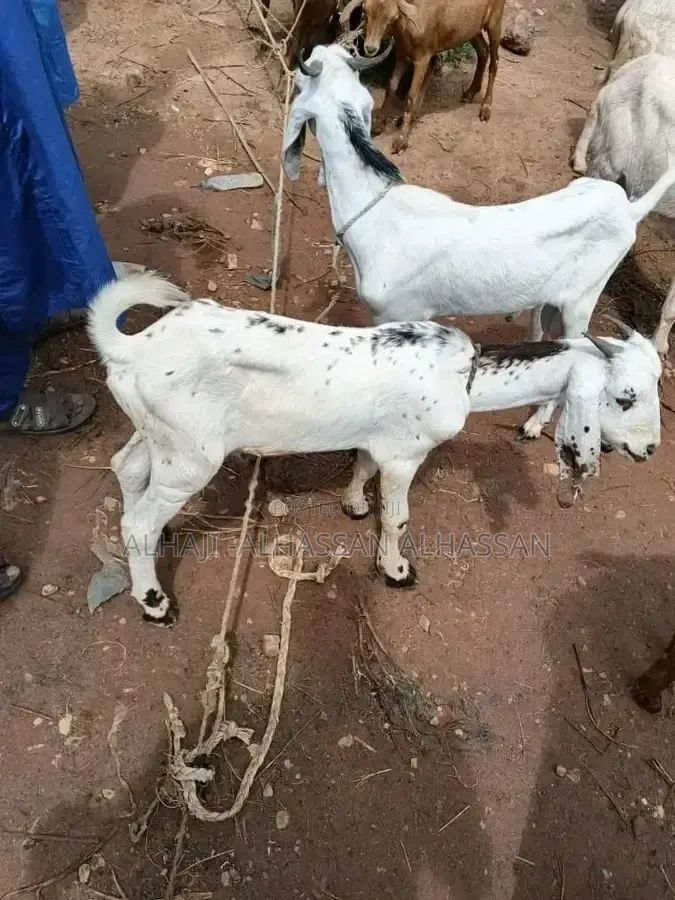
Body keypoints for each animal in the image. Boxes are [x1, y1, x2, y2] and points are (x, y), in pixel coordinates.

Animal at [88, 274, 661, 625]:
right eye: (624, 397)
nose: (652, 448)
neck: (465, 376)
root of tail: (130, 348)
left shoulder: (379, 440)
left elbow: (363, 468)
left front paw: (354, 504)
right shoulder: (407, 454)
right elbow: (399, 518)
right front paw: (396, 570)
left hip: (158, 435)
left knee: (127, 470)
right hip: (191, 455)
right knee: (139, 521)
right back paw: (154, 602)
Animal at [356, 0, 505, 152]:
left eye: (393, 17)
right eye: (365, 10)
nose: (370, 48)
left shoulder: (423, 57)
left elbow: (411, 96)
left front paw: (401, 141)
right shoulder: (402, 53)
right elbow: (391, 87)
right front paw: (378, 125)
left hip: (495, 21)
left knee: (495, 61)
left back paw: (486, 108)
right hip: (473, 29)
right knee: (483, 51)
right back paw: (470, 93)